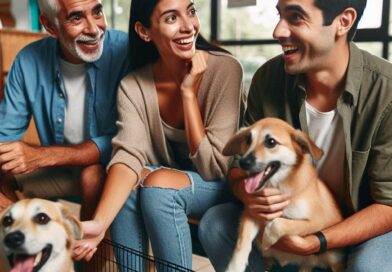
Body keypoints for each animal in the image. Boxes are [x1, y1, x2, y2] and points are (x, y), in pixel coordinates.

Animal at [224, 118, 344, 272]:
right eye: (248, 140)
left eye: (271, 142)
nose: (243, 162)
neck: (278, 186)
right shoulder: (252, 213)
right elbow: (242, 243)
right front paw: (234, 266)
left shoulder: (317, 222)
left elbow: (279, 223)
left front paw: (267, 239)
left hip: (334, 257)